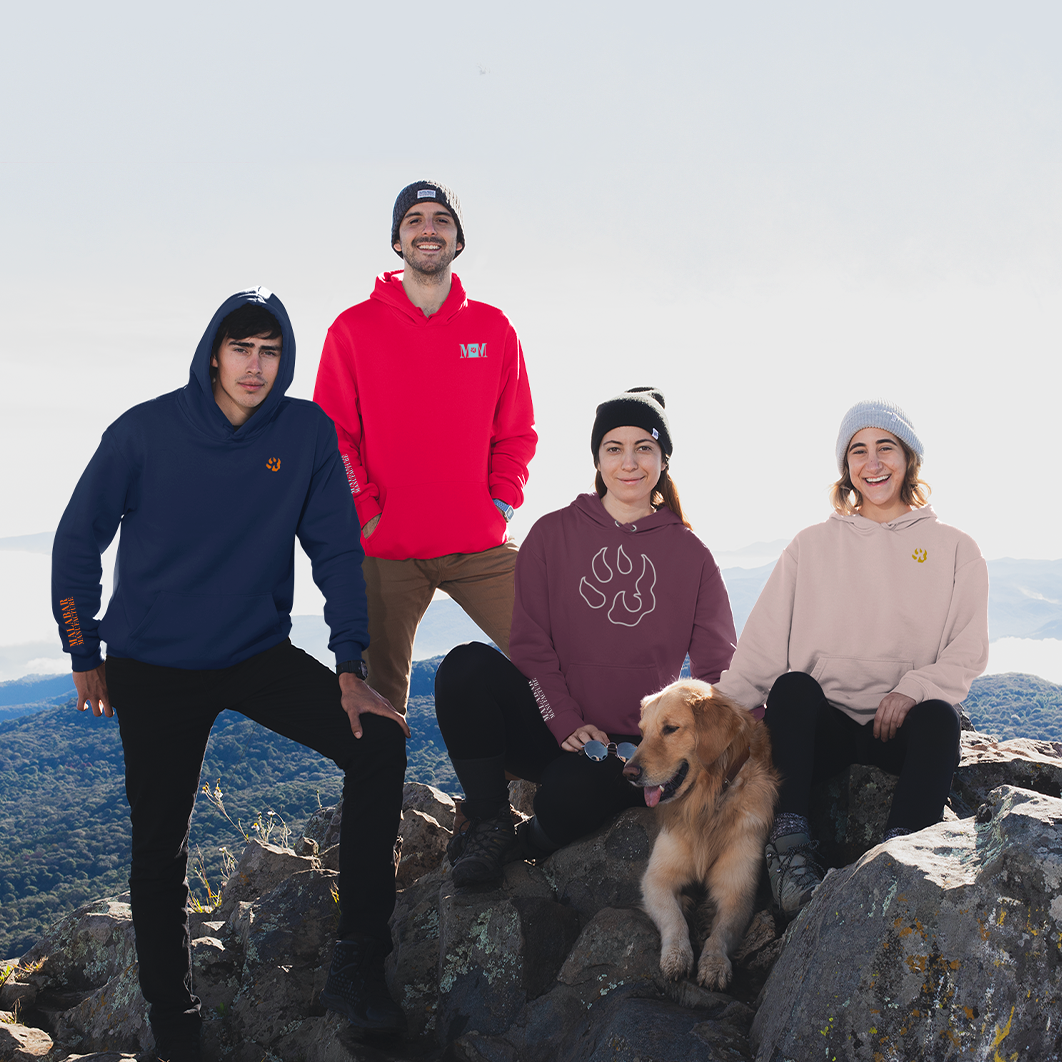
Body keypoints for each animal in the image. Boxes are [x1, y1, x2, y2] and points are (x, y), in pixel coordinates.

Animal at [620, 679, 781, 985]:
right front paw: (677, 955)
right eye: (642, 733)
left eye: (670, 728)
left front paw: (714, 963)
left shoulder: (738, 887)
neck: (707, 802)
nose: (628, 773)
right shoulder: (656, 878)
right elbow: (674, 919)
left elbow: (723, 930)